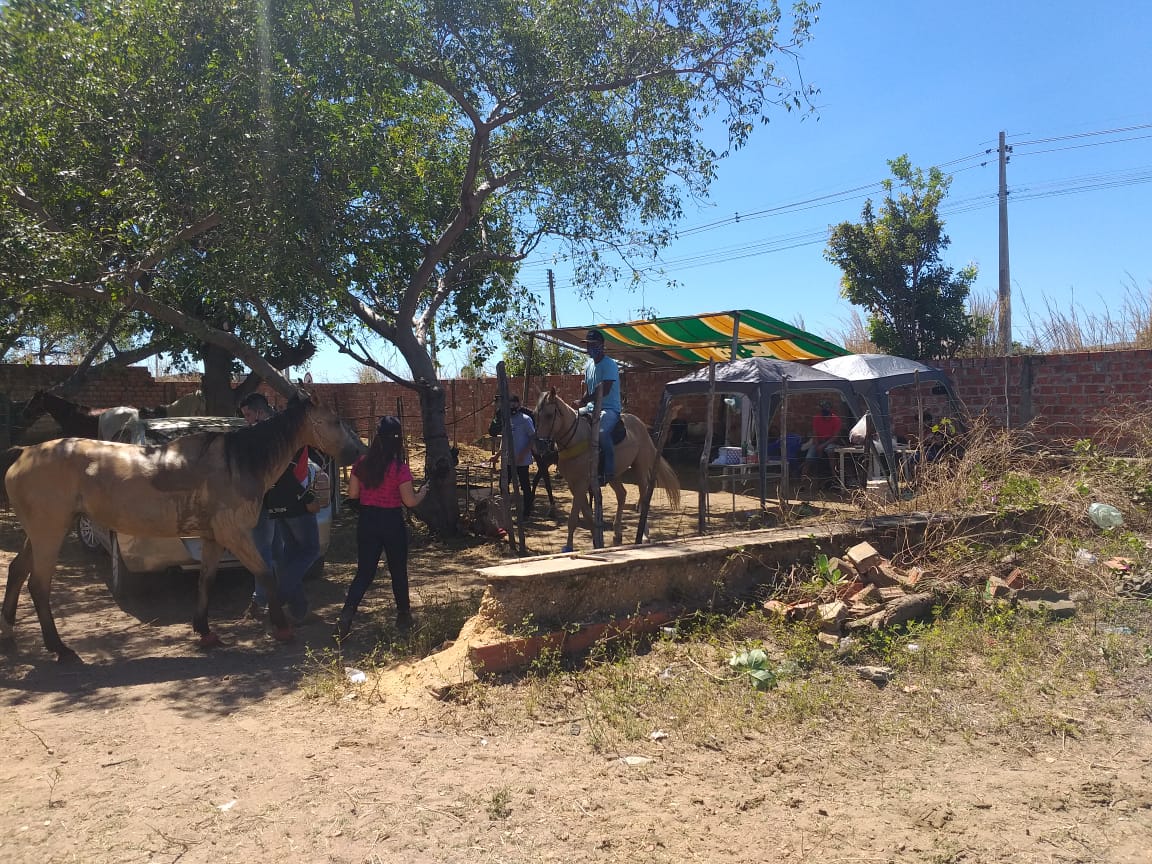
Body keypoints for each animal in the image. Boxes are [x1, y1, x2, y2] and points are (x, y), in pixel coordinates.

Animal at [0, 391, 366, 663]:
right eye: (334, 421)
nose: (357, 452)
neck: (236, 462)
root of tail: (25, 452)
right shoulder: (235, 534)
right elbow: (265, 574)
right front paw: (283, 629)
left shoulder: (212, 538)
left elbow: (206, 580)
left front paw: (205, 631)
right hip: (49, 533)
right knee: (38, 585)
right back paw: (59, 648)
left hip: (42, 533)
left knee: (17, 572)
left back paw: (11, 635)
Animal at [532, 391, 677, 550]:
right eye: (535, 414)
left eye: (549, 415)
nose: (538, 445)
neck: (575, 439)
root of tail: (641, 426)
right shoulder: (573, 484)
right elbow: (587, 516)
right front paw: (596, 542)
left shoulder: (582, 483)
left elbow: (573, 518)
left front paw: (568, 547)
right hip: (614, 475)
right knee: (622, 494)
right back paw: (617, 533)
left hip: (640, 469)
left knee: (643, 500)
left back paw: (644, 536)